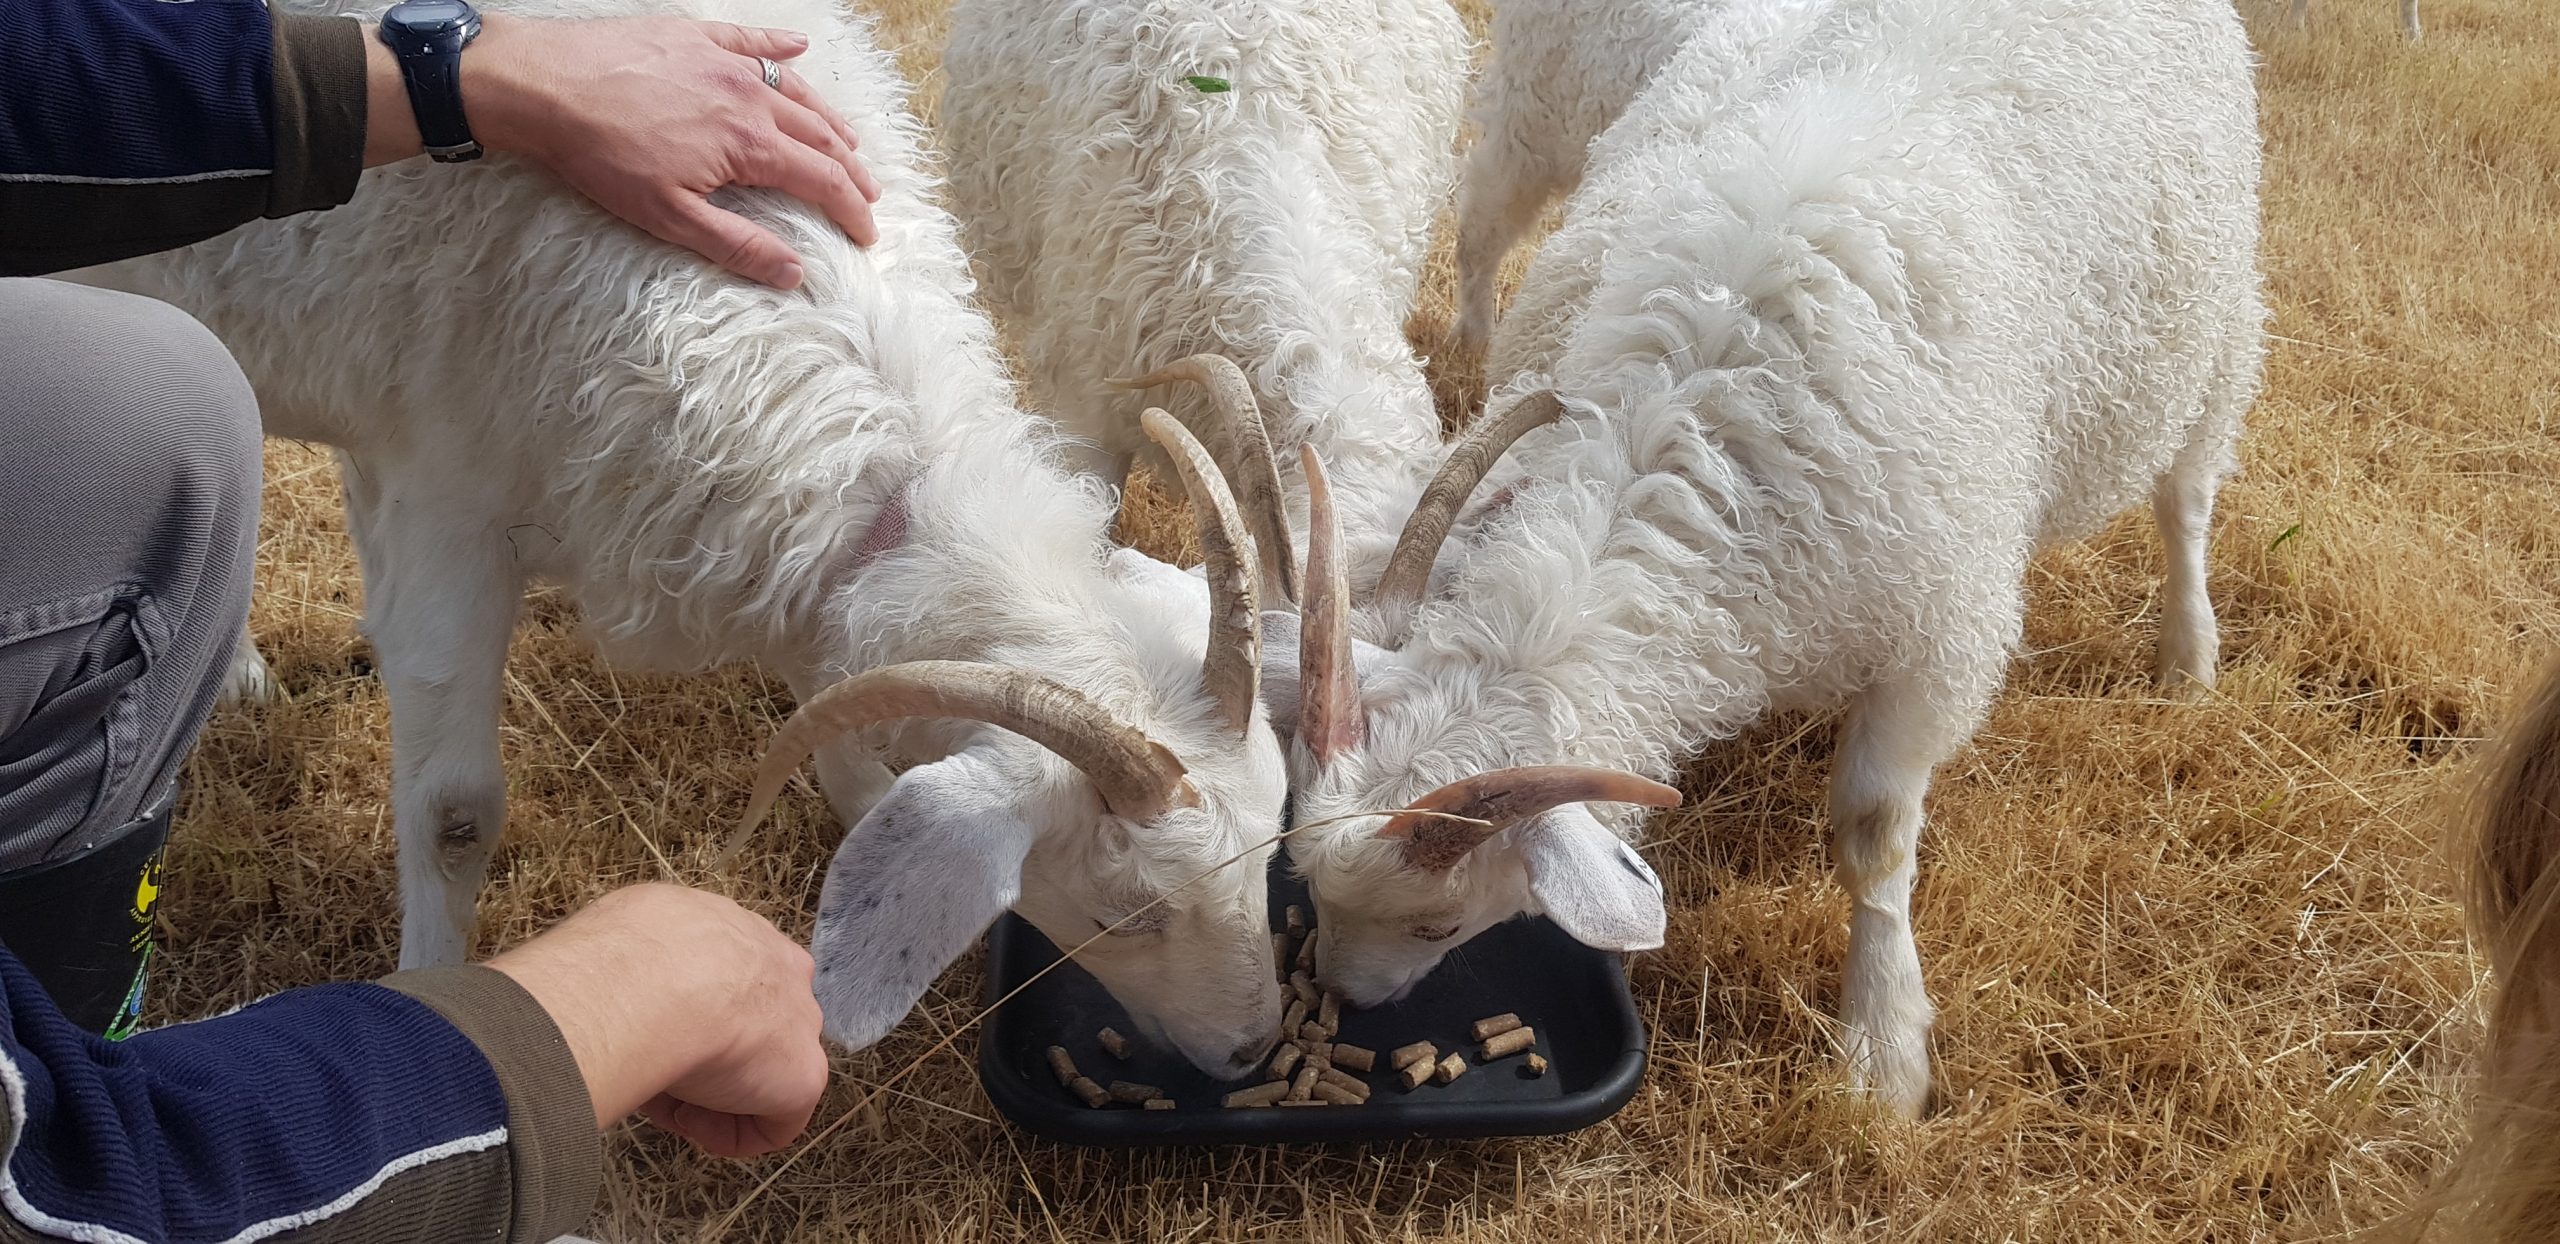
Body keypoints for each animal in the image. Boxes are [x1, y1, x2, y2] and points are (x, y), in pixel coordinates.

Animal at [90, 0, 1290, 1080]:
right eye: (1129, 911)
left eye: (1274, 836)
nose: (1249, 1052)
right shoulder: (449, 502)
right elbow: (453, 814)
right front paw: (430, 992)